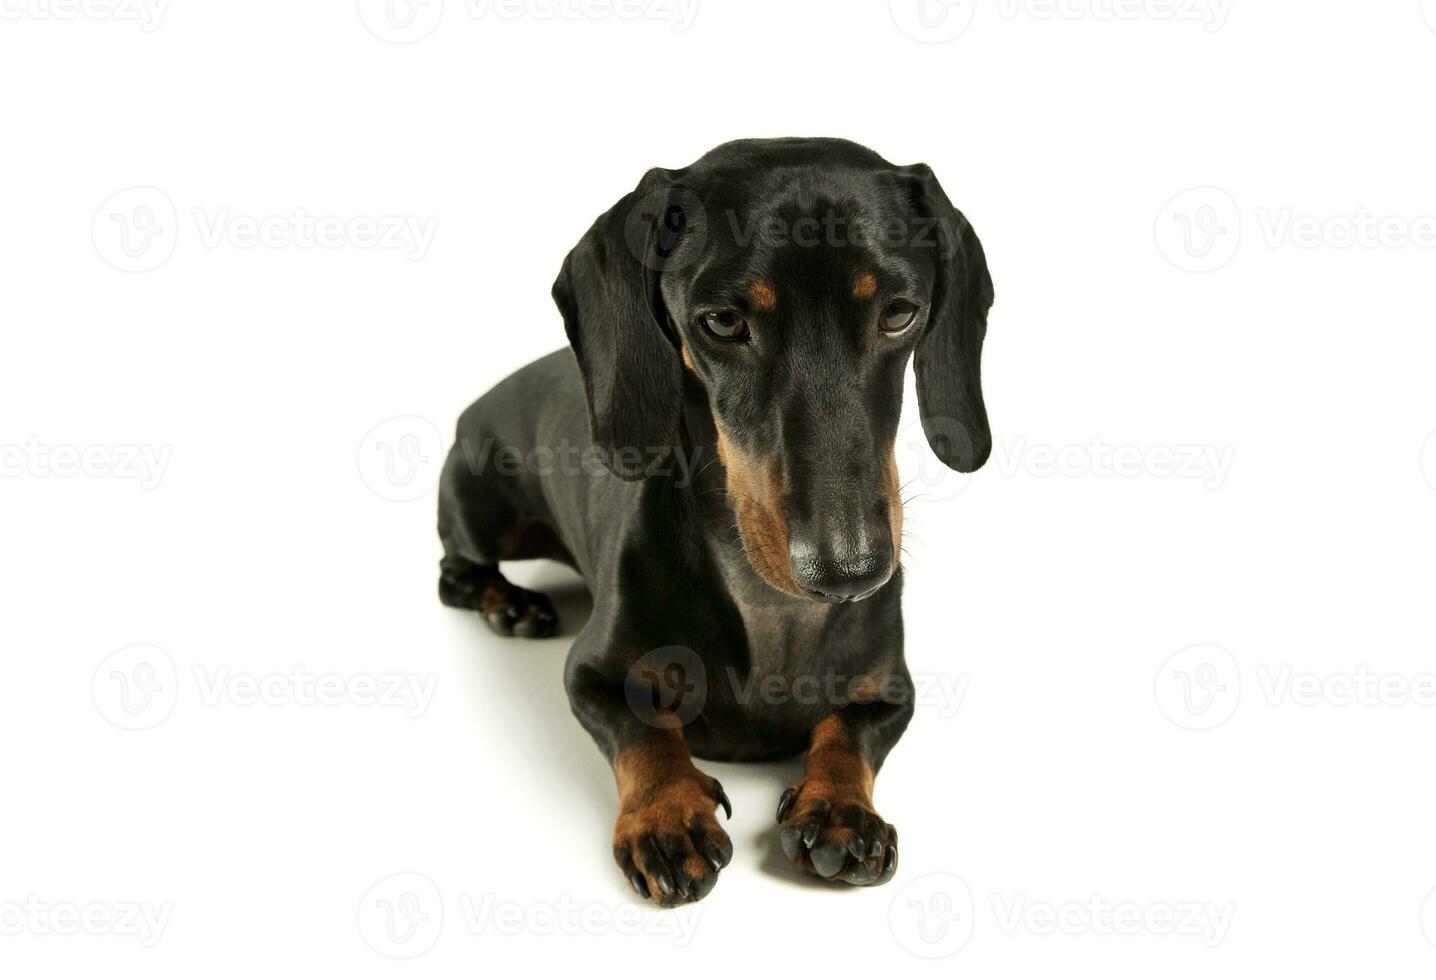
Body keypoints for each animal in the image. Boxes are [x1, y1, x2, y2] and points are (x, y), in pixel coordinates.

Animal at [436, 135, 993, 902]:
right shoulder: (590, 676)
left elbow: (849, 735)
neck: (772, 608)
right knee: (453, 569)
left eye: (900, 312)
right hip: (483, 505)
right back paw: (506, 602)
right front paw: (668, 815)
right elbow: (646, 734)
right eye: (724, 322)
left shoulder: (891, 691)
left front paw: (840, 808)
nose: (849, 569)